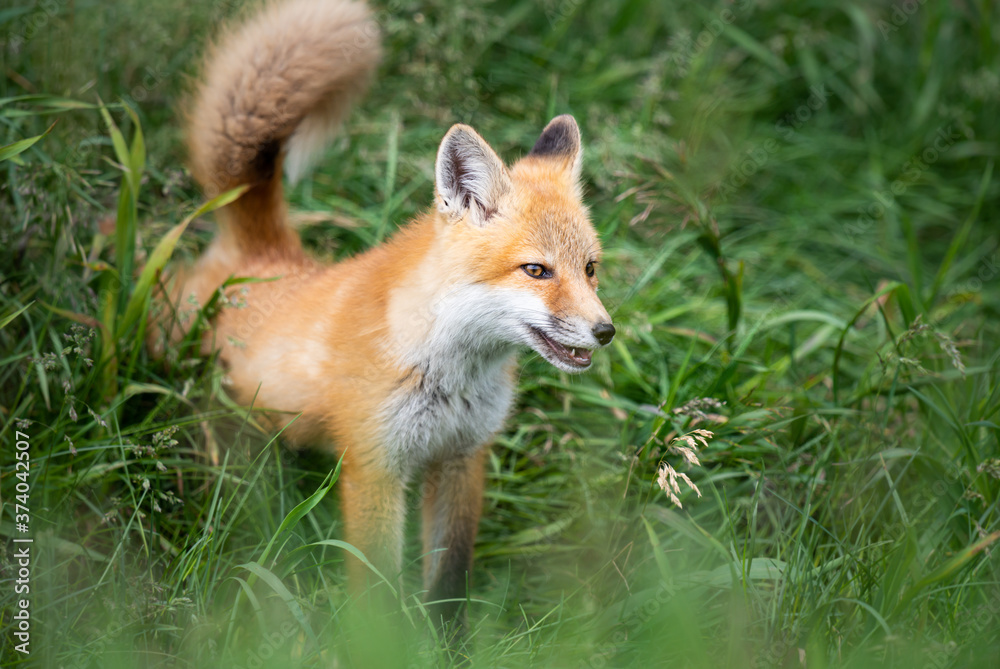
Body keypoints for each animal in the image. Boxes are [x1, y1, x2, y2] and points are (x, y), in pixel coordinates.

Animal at [160, 0, 612, 636]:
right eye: (536, 270)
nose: (606, 331)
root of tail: (263, 251)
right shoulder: (375, 468)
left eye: (590, 269)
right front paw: (380, 647)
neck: (449, 374)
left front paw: (450, 647)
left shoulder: (461, 460)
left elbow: (449, 586)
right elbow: (376, 594)